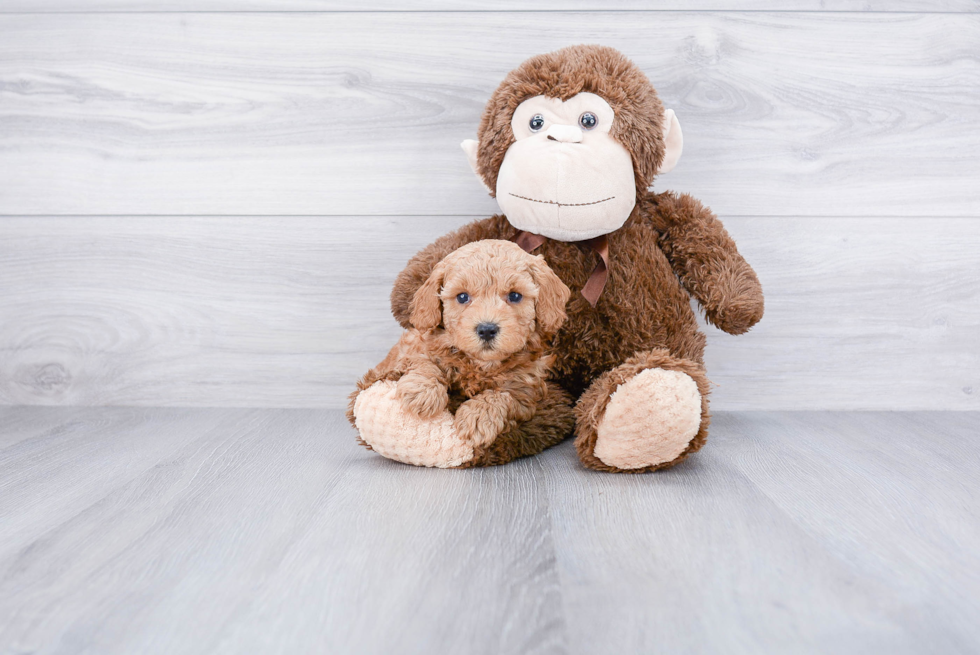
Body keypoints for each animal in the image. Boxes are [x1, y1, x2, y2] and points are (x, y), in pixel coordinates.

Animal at [350, 240, 568, 452]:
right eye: (462, 297)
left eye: (515, 296)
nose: (487, 329)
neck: (479, 364)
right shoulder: (417, 346)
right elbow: (424, 362)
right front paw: (422, 393)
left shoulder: (526, 388)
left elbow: (502, 395)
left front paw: (477, 417)